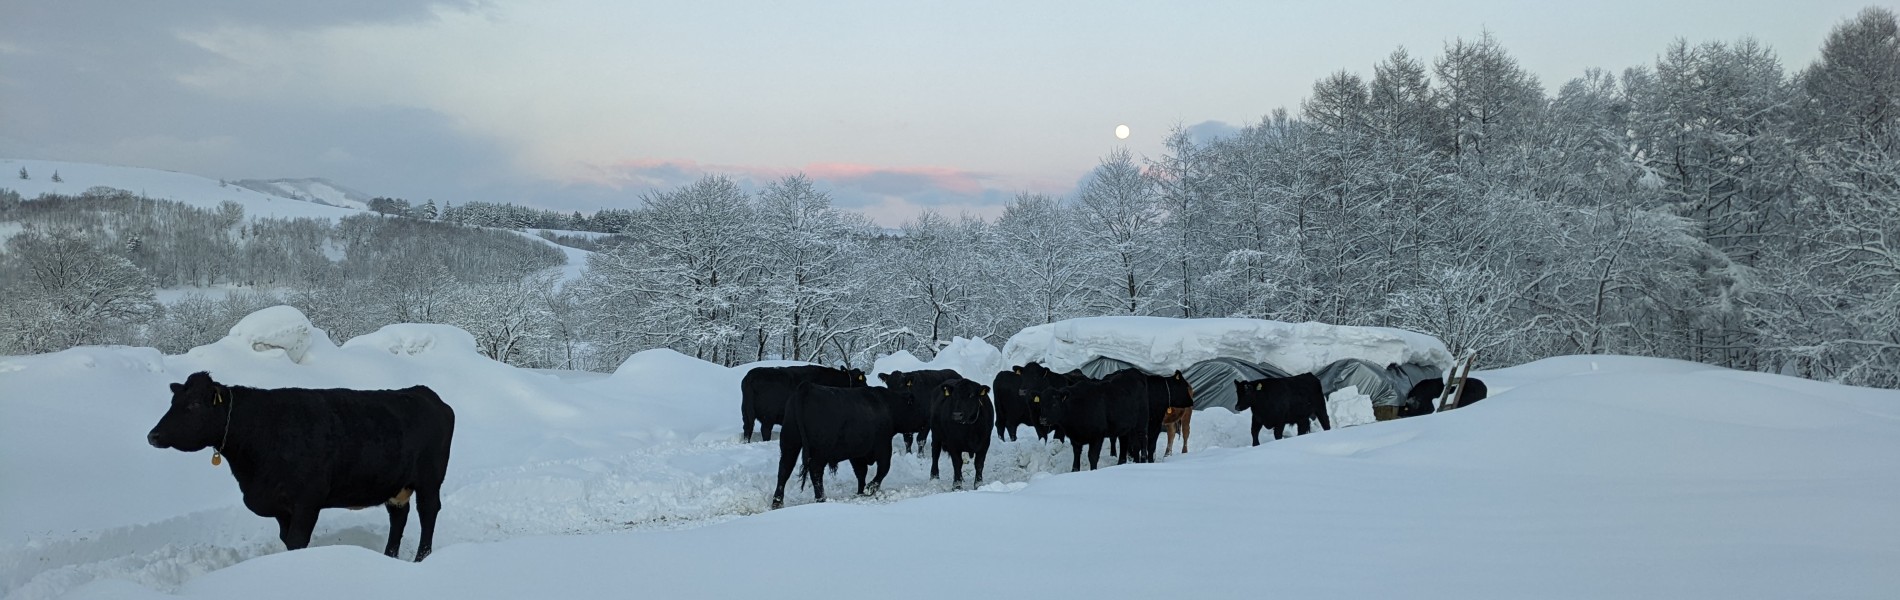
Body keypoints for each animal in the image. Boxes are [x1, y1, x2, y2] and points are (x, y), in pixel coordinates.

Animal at [145, 370, 456, 562]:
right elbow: (286, 540)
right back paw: (388, 557)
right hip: (397, 485)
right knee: (398, 516)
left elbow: (297, 540)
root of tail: (423, 392)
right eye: (173, 401)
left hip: (430, 480)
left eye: (194, 405)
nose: (153, 436)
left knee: (428, 513)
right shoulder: (281, 506)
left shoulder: (307, 500)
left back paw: (421, 558)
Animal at [741, 362, 870, 442]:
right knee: (765, 430)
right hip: (768, 415)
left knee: (747, 428)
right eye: (862, 380)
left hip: (746, 413)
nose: (867, 389)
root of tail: (750, 376)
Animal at [763, 383, 896, 505]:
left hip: (790, 441)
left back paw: (777, 501)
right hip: (819, 450)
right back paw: (821, 498)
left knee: (784, 468)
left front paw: (861, 492)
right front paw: (870, 488)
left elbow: (861, 472)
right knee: (815, 471)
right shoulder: (883, 446)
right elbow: (883, 468)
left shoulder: (858, 454)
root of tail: (807, 387)